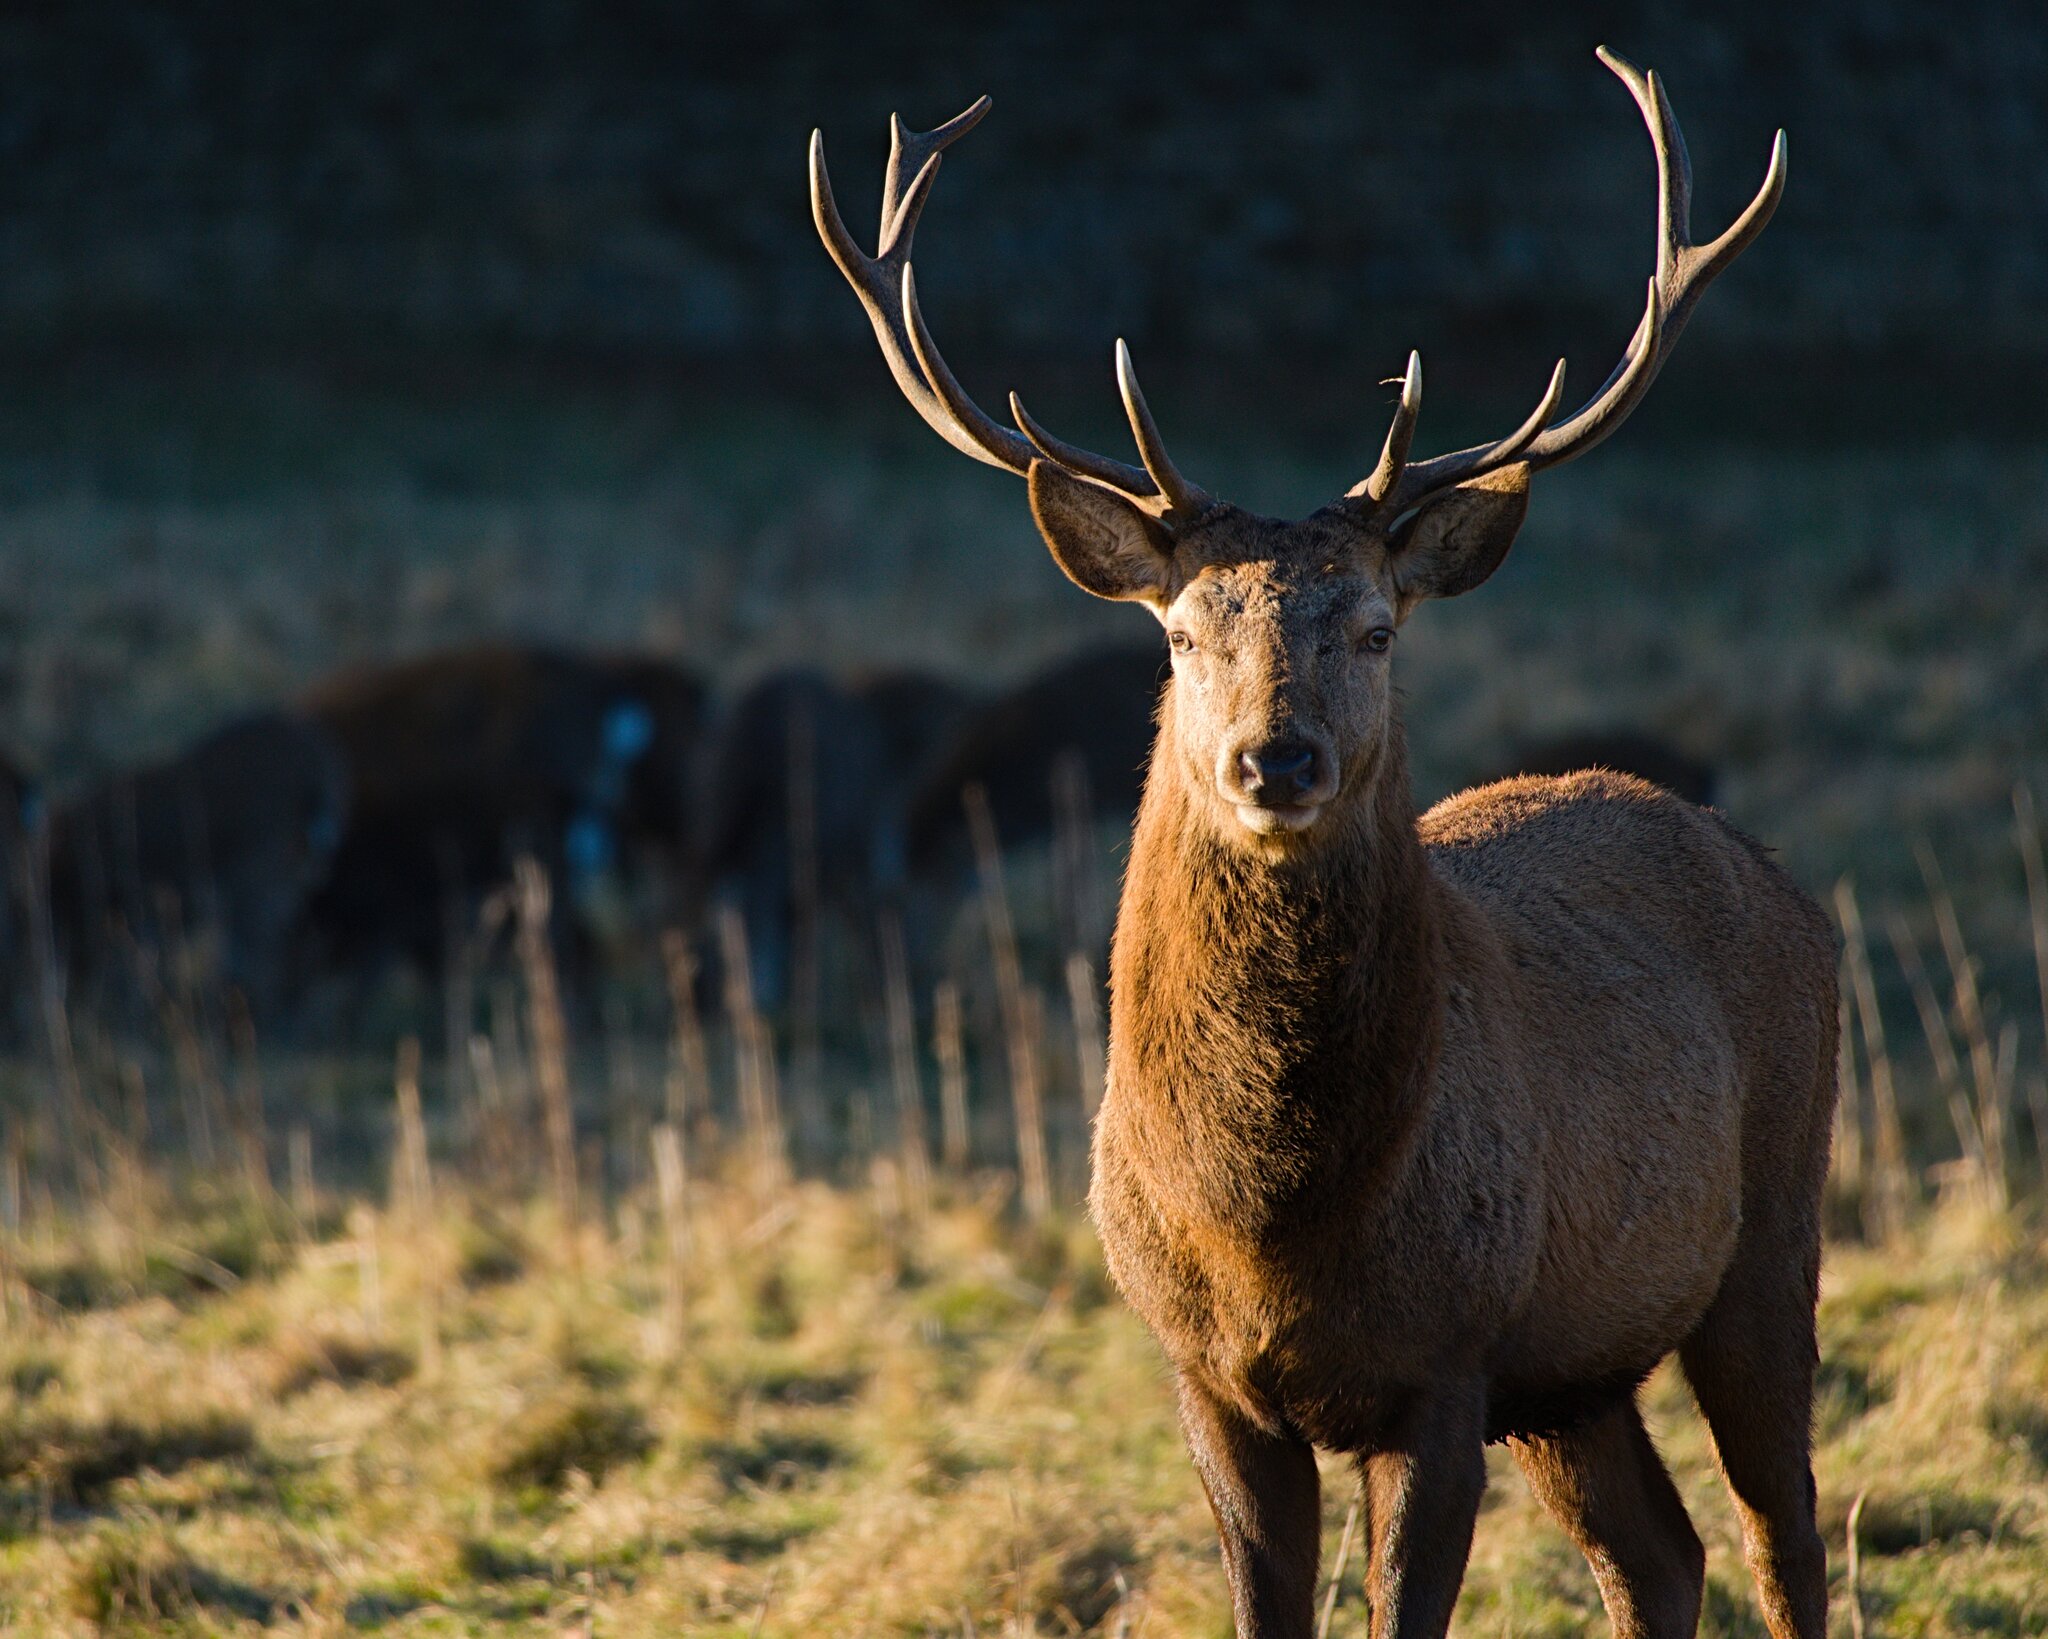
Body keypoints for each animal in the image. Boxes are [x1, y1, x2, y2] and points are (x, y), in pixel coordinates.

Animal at [811, 54, 1826, 1639]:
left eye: (1373, 627)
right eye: (1178, 631)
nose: (1273, 759)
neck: (1268, 1224)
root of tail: (1778, 876)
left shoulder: (1449, 1358)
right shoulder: (1206, 1377)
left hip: (1770, 1232)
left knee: (1786, 1537)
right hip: (1576, 1367)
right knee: (1661, 1552)